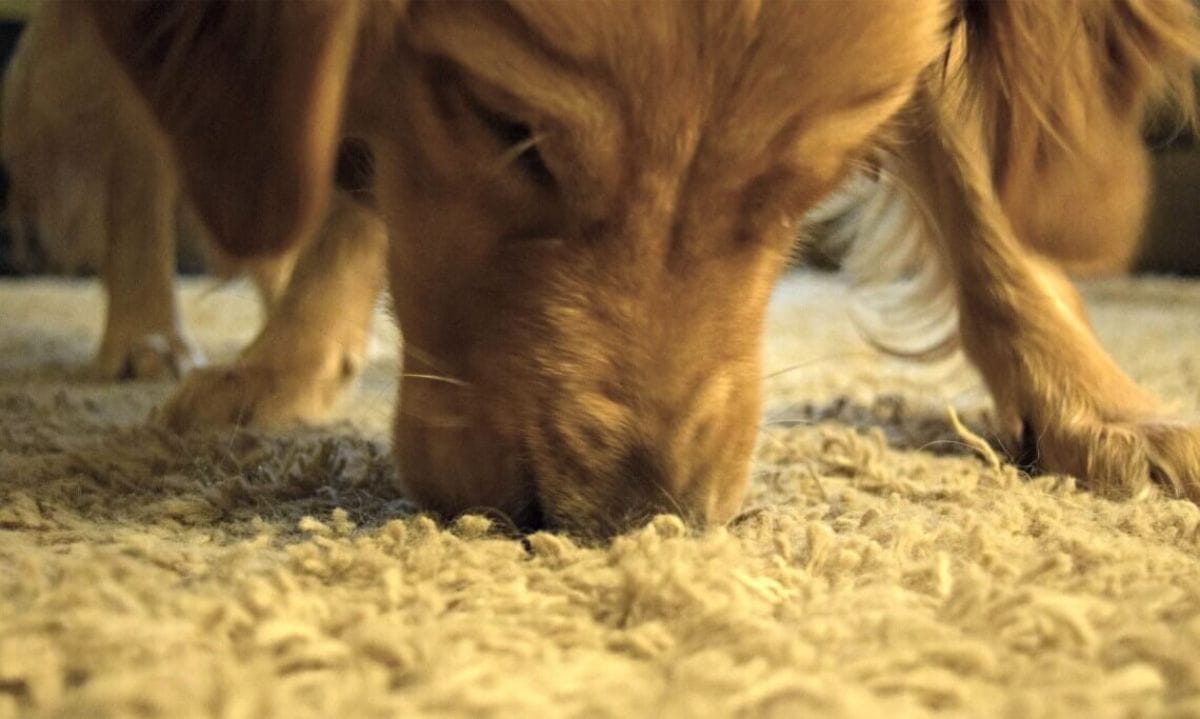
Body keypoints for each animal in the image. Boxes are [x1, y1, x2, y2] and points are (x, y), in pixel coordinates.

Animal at [18, 0, 1200, 537]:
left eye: (817, 179)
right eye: (510, 130)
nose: (638, 516)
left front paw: (1103, 402)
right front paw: (282, 359)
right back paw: (153, 331)